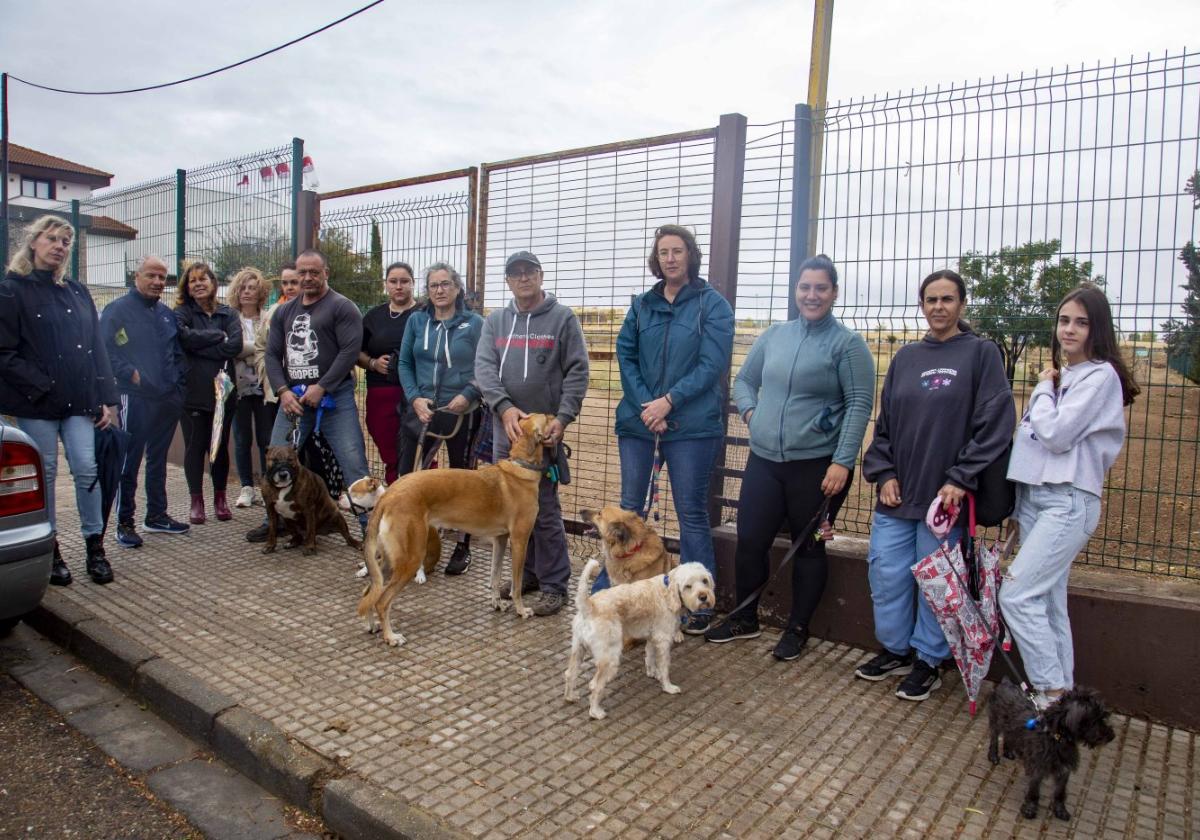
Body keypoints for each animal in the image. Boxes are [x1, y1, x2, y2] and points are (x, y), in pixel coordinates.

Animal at [355, 410, 552, 648]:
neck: (520, 467)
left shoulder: (501, 539)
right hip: (410, 558)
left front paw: (497, 603)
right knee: (382, 601)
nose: (556, 416)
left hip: (387, 561)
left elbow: (495, 577)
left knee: (369, 592)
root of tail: (389, 495)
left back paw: (371, 626)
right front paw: (521, 610)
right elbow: (517, 584)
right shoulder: (519, 541)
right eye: (546, 418)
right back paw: (391, 637)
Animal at [561, 556, 710, 720]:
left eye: (704, 581)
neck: (667, 592)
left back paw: (570, 697)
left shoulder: (653, 638)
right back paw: (596, 712)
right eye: (688, 586)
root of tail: (589, 606)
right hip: (609, 660)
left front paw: (652, 673)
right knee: (595, 685)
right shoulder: (663, 640)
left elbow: (650, 656)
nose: (703, 597)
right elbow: (664, 667)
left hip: (578, 649)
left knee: (570, 674)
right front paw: (668, 687)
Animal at [984, 676, 1113, 820]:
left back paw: (1008, 751)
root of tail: (1005, 683)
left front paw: (1060, 810)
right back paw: (993, 755)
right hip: (996, 721)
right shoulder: (1038, 768)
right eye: (1095, 720)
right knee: (994, 737)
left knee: (1008, 736)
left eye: (1103, 717)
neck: (1056, 738)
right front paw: (1030, 809)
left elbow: (1060, 793)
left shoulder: (1064, 770)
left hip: (1010, 726)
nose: (1111, 736)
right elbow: (1034, 791)